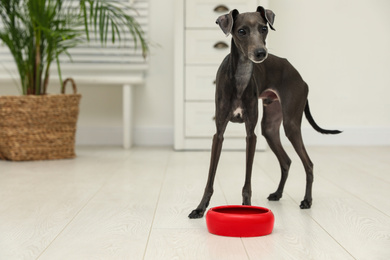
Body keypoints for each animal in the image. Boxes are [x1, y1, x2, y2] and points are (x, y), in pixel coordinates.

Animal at [187, 5, 340, 219]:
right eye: (242, 31)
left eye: (264, 29)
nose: (261, 53)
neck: (240, 77)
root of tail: (299, 76)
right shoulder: (219, 134)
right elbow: (210, 177)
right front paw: (200, 208)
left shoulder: (251, 134)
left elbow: (248, 179)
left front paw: (246, 207)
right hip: (269, 128)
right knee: (286, 161)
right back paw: (277, 193)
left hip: (290, 124)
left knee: (308, 163)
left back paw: (307, 200)